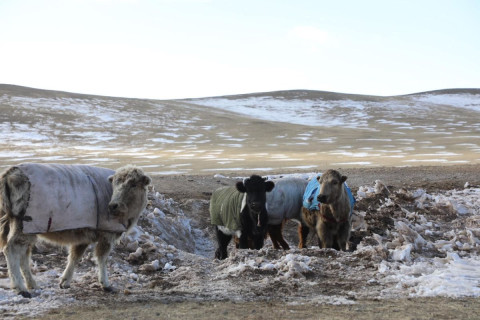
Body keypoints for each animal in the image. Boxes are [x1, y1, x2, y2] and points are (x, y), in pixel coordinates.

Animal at [0, 162, 150, 298]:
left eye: (133, 185)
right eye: (115, 184)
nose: (113, 205)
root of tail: (11, 172)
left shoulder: (84, 233)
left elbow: (75, 256)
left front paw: (65, 281)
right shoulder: (107, 233)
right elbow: (102, 258)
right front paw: (105, 284)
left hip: (27, 227)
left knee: (24, 254)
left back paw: (32, 284)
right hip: (24, 223)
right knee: (11, 250)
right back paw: (20, 287)